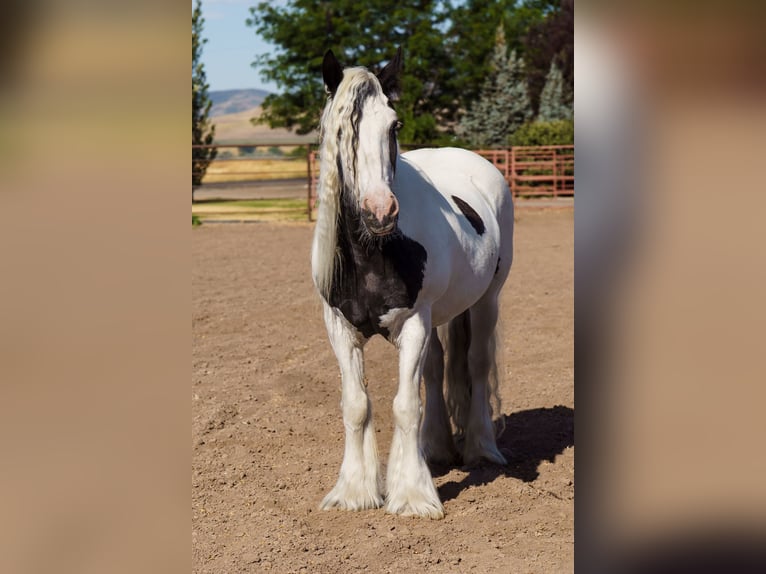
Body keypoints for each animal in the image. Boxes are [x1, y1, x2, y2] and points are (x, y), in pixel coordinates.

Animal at [311, 48, 514, 519]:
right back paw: (437, 450)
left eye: (394, 125)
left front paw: (413, 497)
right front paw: (354, 491)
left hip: (486, 302)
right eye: (341, 129)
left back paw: (480, 449)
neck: (373, 252)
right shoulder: (339, 328)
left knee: (476, 364)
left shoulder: (414, 324)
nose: (380, 211)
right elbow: (357, 405)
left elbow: (405, 406)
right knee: (438, 367)